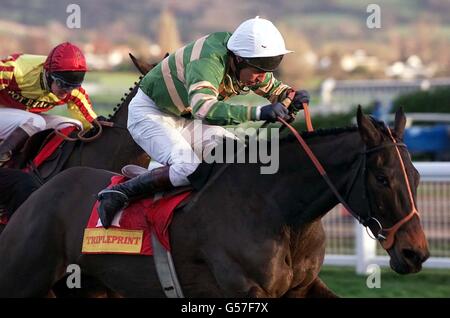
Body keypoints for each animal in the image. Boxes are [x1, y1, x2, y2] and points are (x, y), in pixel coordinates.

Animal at [0, 108, 430, 296]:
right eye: (382, 178)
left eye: (417, 176)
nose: (416, 253)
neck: (280, 214)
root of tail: (40, 192)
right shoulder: (244, 292)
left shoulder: (303, 287)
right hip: (23, 279)